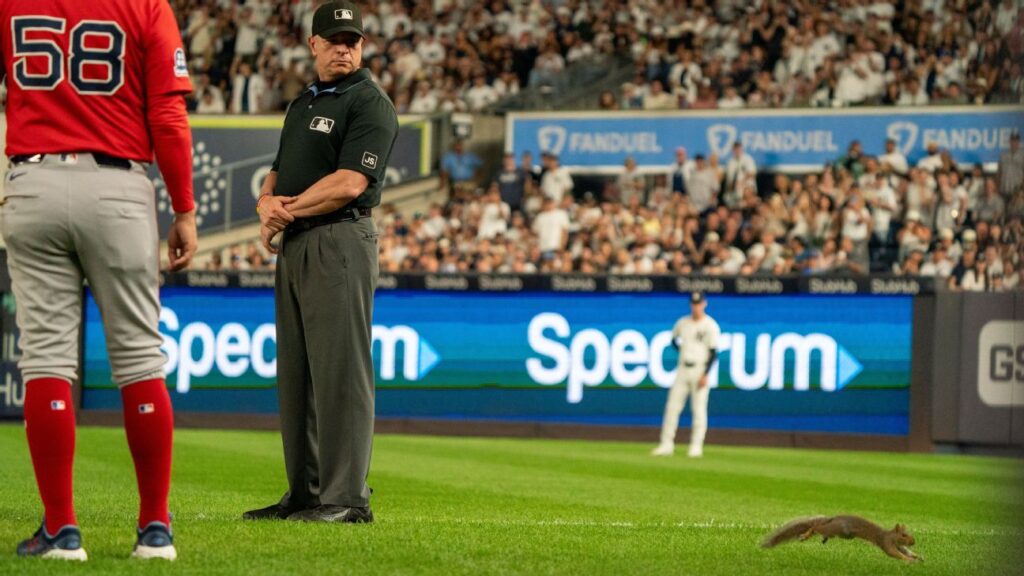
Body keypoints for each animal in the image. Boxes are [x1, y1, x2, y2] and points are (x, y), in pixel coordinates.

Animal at [761, 515, 920, 562]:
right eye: (904, 535)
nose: (914, 541)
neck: (891, 536)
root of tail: (832, 518)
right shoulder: (885, 542)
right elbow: (893, 553)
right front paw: (909, 560)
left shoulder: (898, 545)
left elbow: (904, 551)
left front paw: (917, 556)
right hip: (835, 529)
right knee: (816, 527)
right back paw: (807, 534)